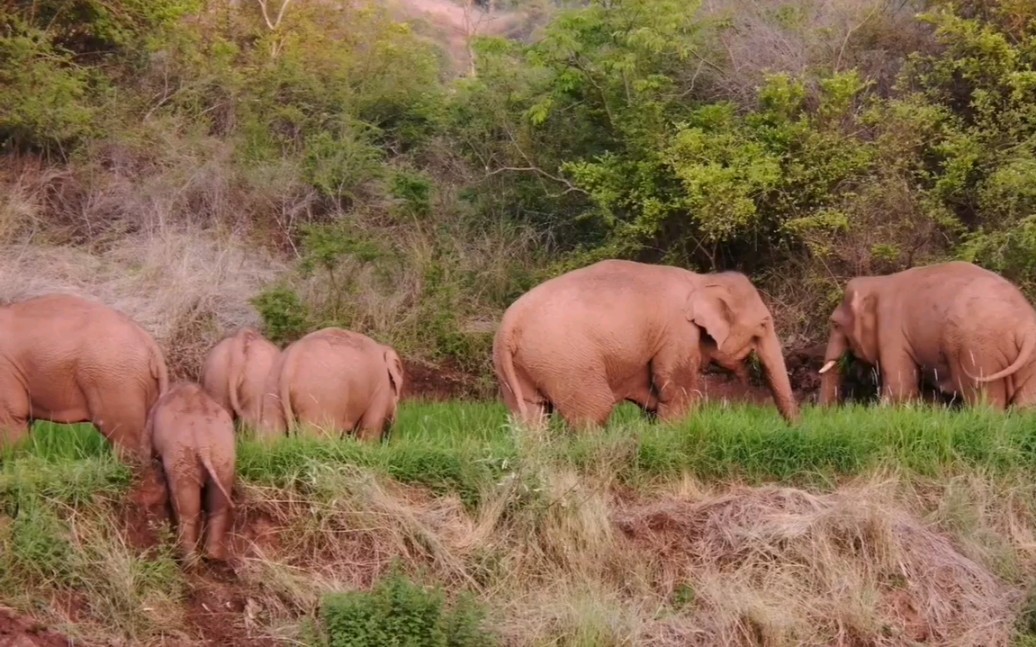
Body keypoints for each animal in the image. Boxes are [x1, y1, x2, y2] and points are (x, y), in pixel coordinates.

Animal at [147, 380, 236, 559]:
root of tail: (204, 443)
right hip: (224, 456)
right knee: (217, 505)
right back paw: (213, 557)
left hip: (182, 460)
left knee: (186, 512)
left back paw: (189, 561)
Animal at [488, 257, 795, 428]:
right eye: (764, 324)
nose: (792, 430)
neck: (702, 280)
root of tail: (508, 328)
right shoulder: (677, 333)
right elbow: (675, 393)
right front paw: (673, 434)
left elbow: (653, 398)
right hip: (568, 363)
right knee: (594, 411)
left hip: (516, 368)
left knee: (531, 416)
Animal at [816, 258, 1036, 405]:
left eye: (835, 324)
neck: (877, 282)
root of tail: (1024, 329)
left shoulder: (892, 329)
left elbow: (900, 388)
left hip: (979, 354)